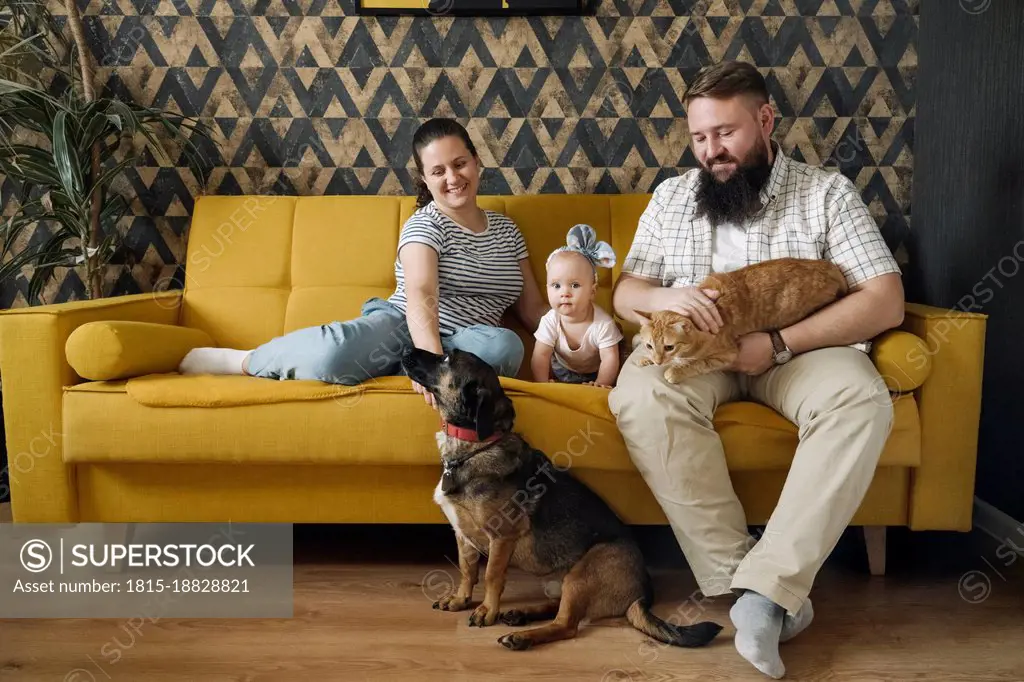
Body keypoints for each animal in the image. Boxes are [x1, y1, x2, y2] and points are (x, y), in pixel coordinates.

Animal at [395, 348, 724, 651]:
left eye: (447, 358)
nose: (406, 350)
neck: (473, 448)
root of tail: (643, 593)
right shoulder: (462, 535)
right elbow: (467, 570)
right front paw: (461, 599)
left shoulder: (502, 536)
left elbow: (491, 575)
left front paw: (487, 610)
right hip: (565, 582)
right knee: (558, 609)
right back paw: (522, 614)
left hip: (582, 574)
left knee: (566, 626)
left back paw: (522, 636)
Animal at [638, 256, 847, 382]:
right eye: (649, 345)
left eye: (669, 347)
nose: (657, 361)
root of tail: (827, 265)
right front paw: (646, 359)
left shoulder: (726, 355)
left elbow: (698, 364)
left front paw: (676, 370)